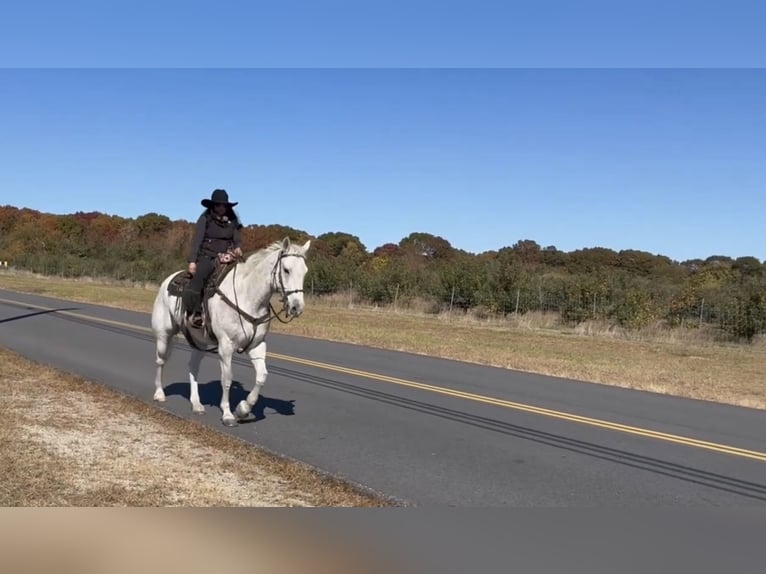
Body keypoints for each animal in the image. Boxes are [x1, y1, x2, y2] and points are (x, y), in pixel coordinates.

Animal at [150, 236, 311, 427]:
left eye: (305, 271)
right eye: (286, 270)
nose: (296, 307)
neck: (247, 297)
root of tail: (168, 280)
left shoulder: (257, 346)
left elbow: (261, 376)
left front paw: (243, 409)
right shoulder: (226, 347)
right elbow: (227, 379)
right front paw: (227, 414)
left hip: (200, 343)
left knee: (193, 367)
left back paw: (197, 404)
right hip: (164, 335)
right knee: (160, 361)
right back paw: (159, 394)